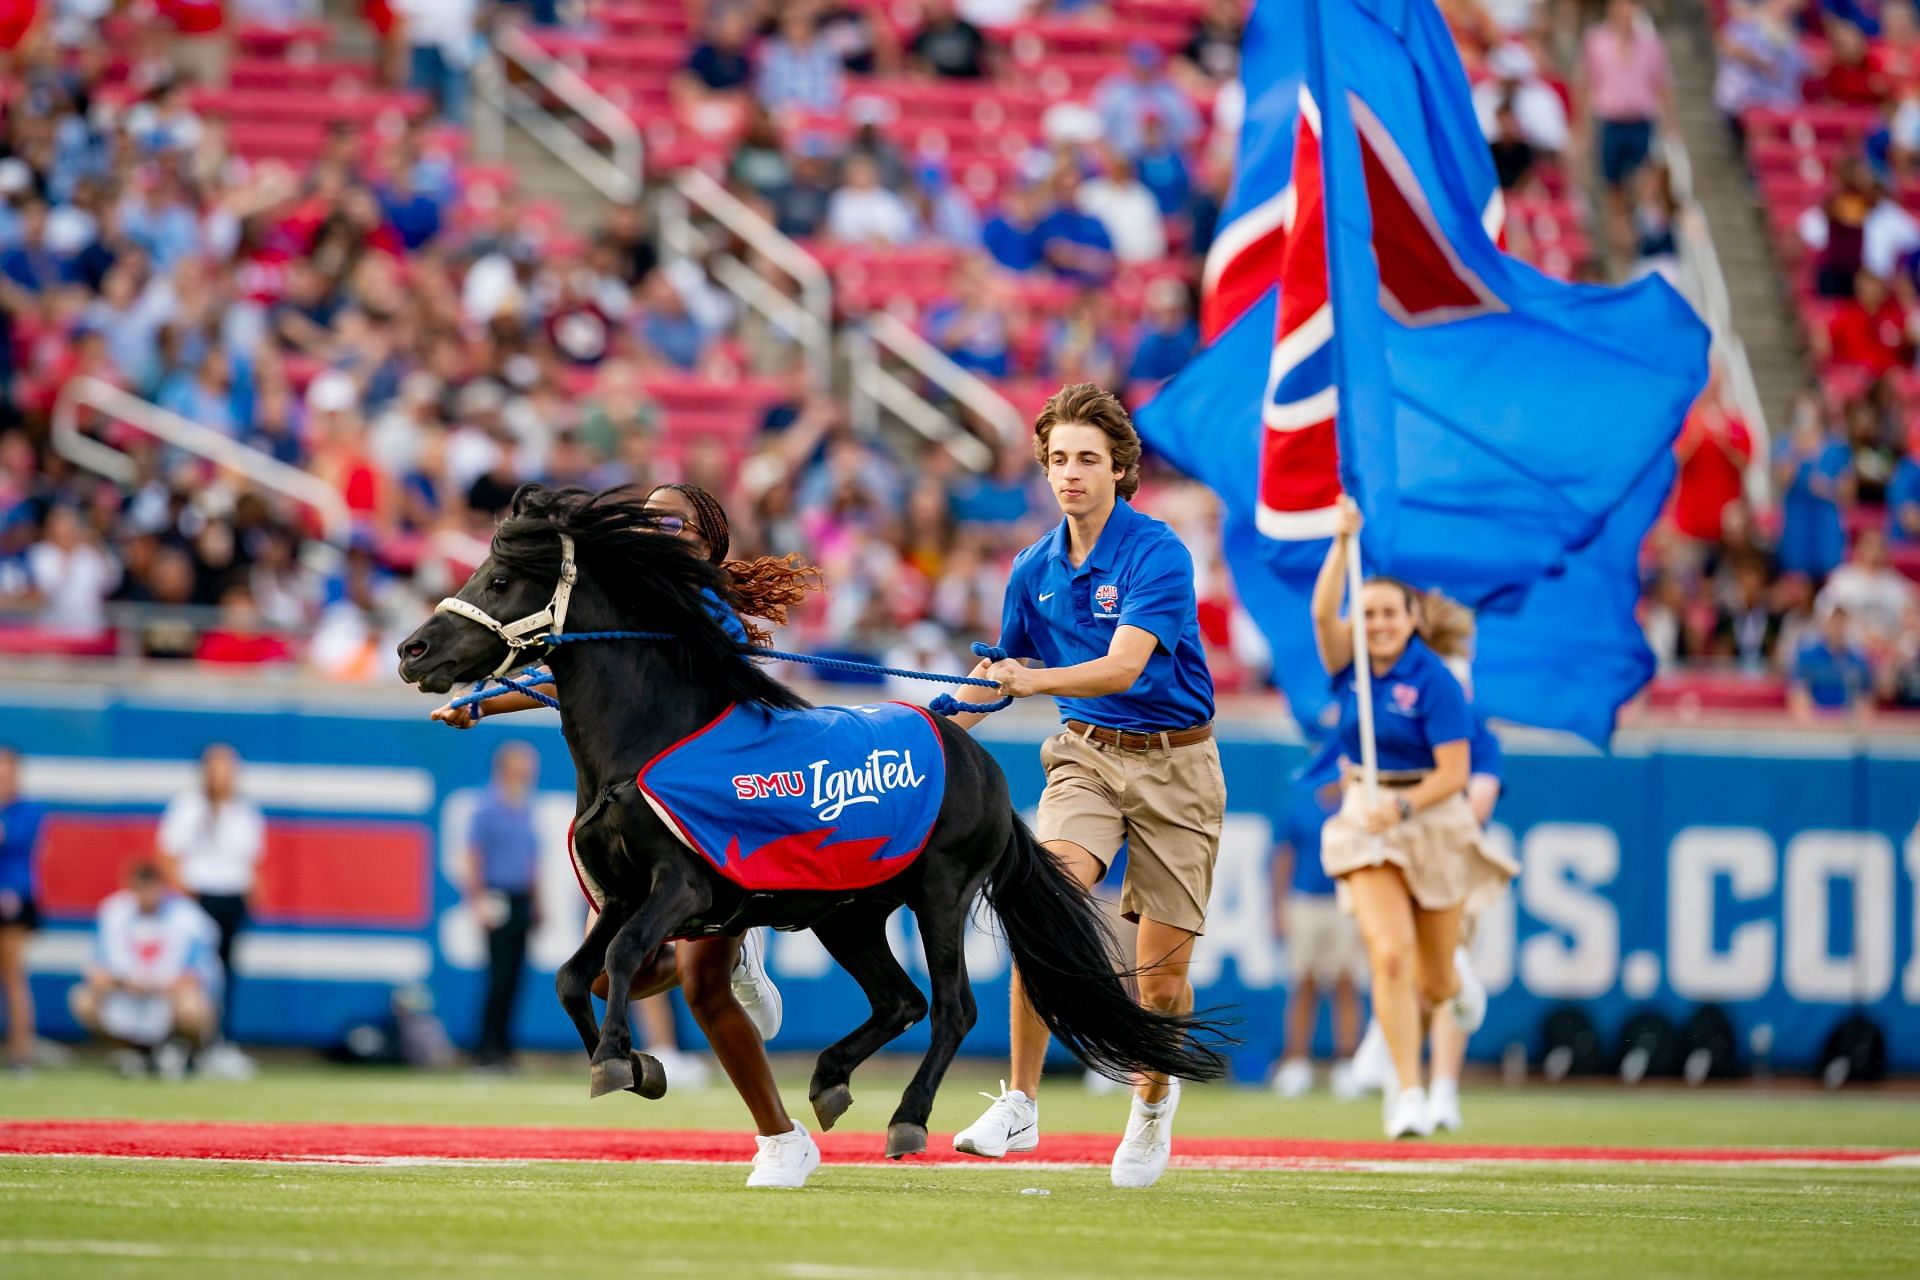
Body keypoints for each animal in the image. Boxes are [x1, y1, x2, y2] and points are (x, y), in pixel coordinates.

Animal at [397, 485, 1221, 1159]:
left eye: (500, 579)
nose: (412, 650)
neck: (647, 738)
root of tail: (975, 758)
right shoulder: (625, 890)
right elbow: (575, 974)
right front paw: (638, 1065)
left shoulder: (682, 887)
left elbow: (624, 955)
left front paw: (614, 1060)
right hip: (846, 912)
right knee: (901, 1000)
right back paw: (828, 1078)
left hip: (939, 893)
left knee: (952, 1007)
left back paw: (908, 1118)